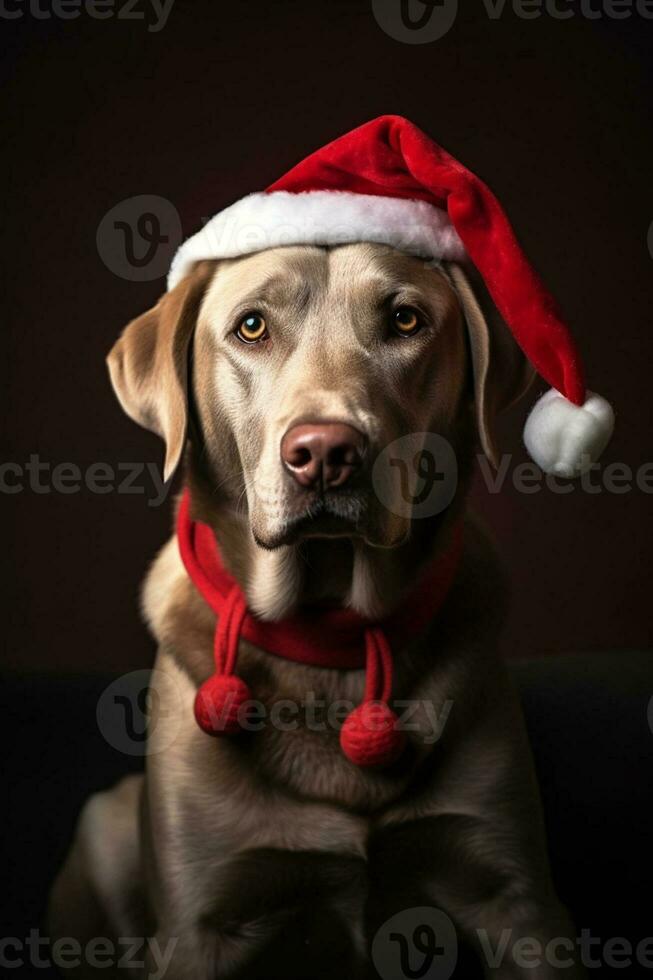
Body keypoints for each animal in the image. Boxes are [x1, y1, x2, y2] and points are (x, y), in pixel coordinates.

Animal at [48, 245, 584, 980]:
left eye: (405, 320)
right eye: (251, 327)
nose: (326, 452)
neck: (329, 634)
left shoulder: (519, 903)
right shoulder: (197, 928)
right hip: (105, 822)